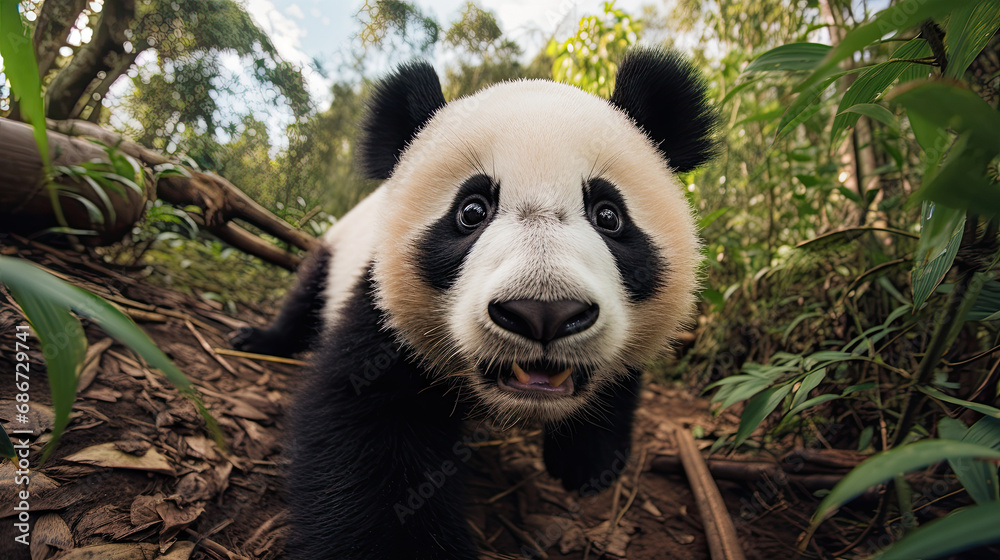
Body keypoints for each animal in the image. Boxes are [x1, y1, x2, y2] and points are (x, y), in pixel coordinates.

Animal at [231, 47, 717, 559]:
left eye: (609, 216)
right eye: (471, 211)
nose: (543, 313)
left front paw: (589, 462)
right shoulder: (381, 315)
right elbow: (365, 430)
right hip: (333, 250)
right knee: (304, 298)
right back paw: (259, 339)